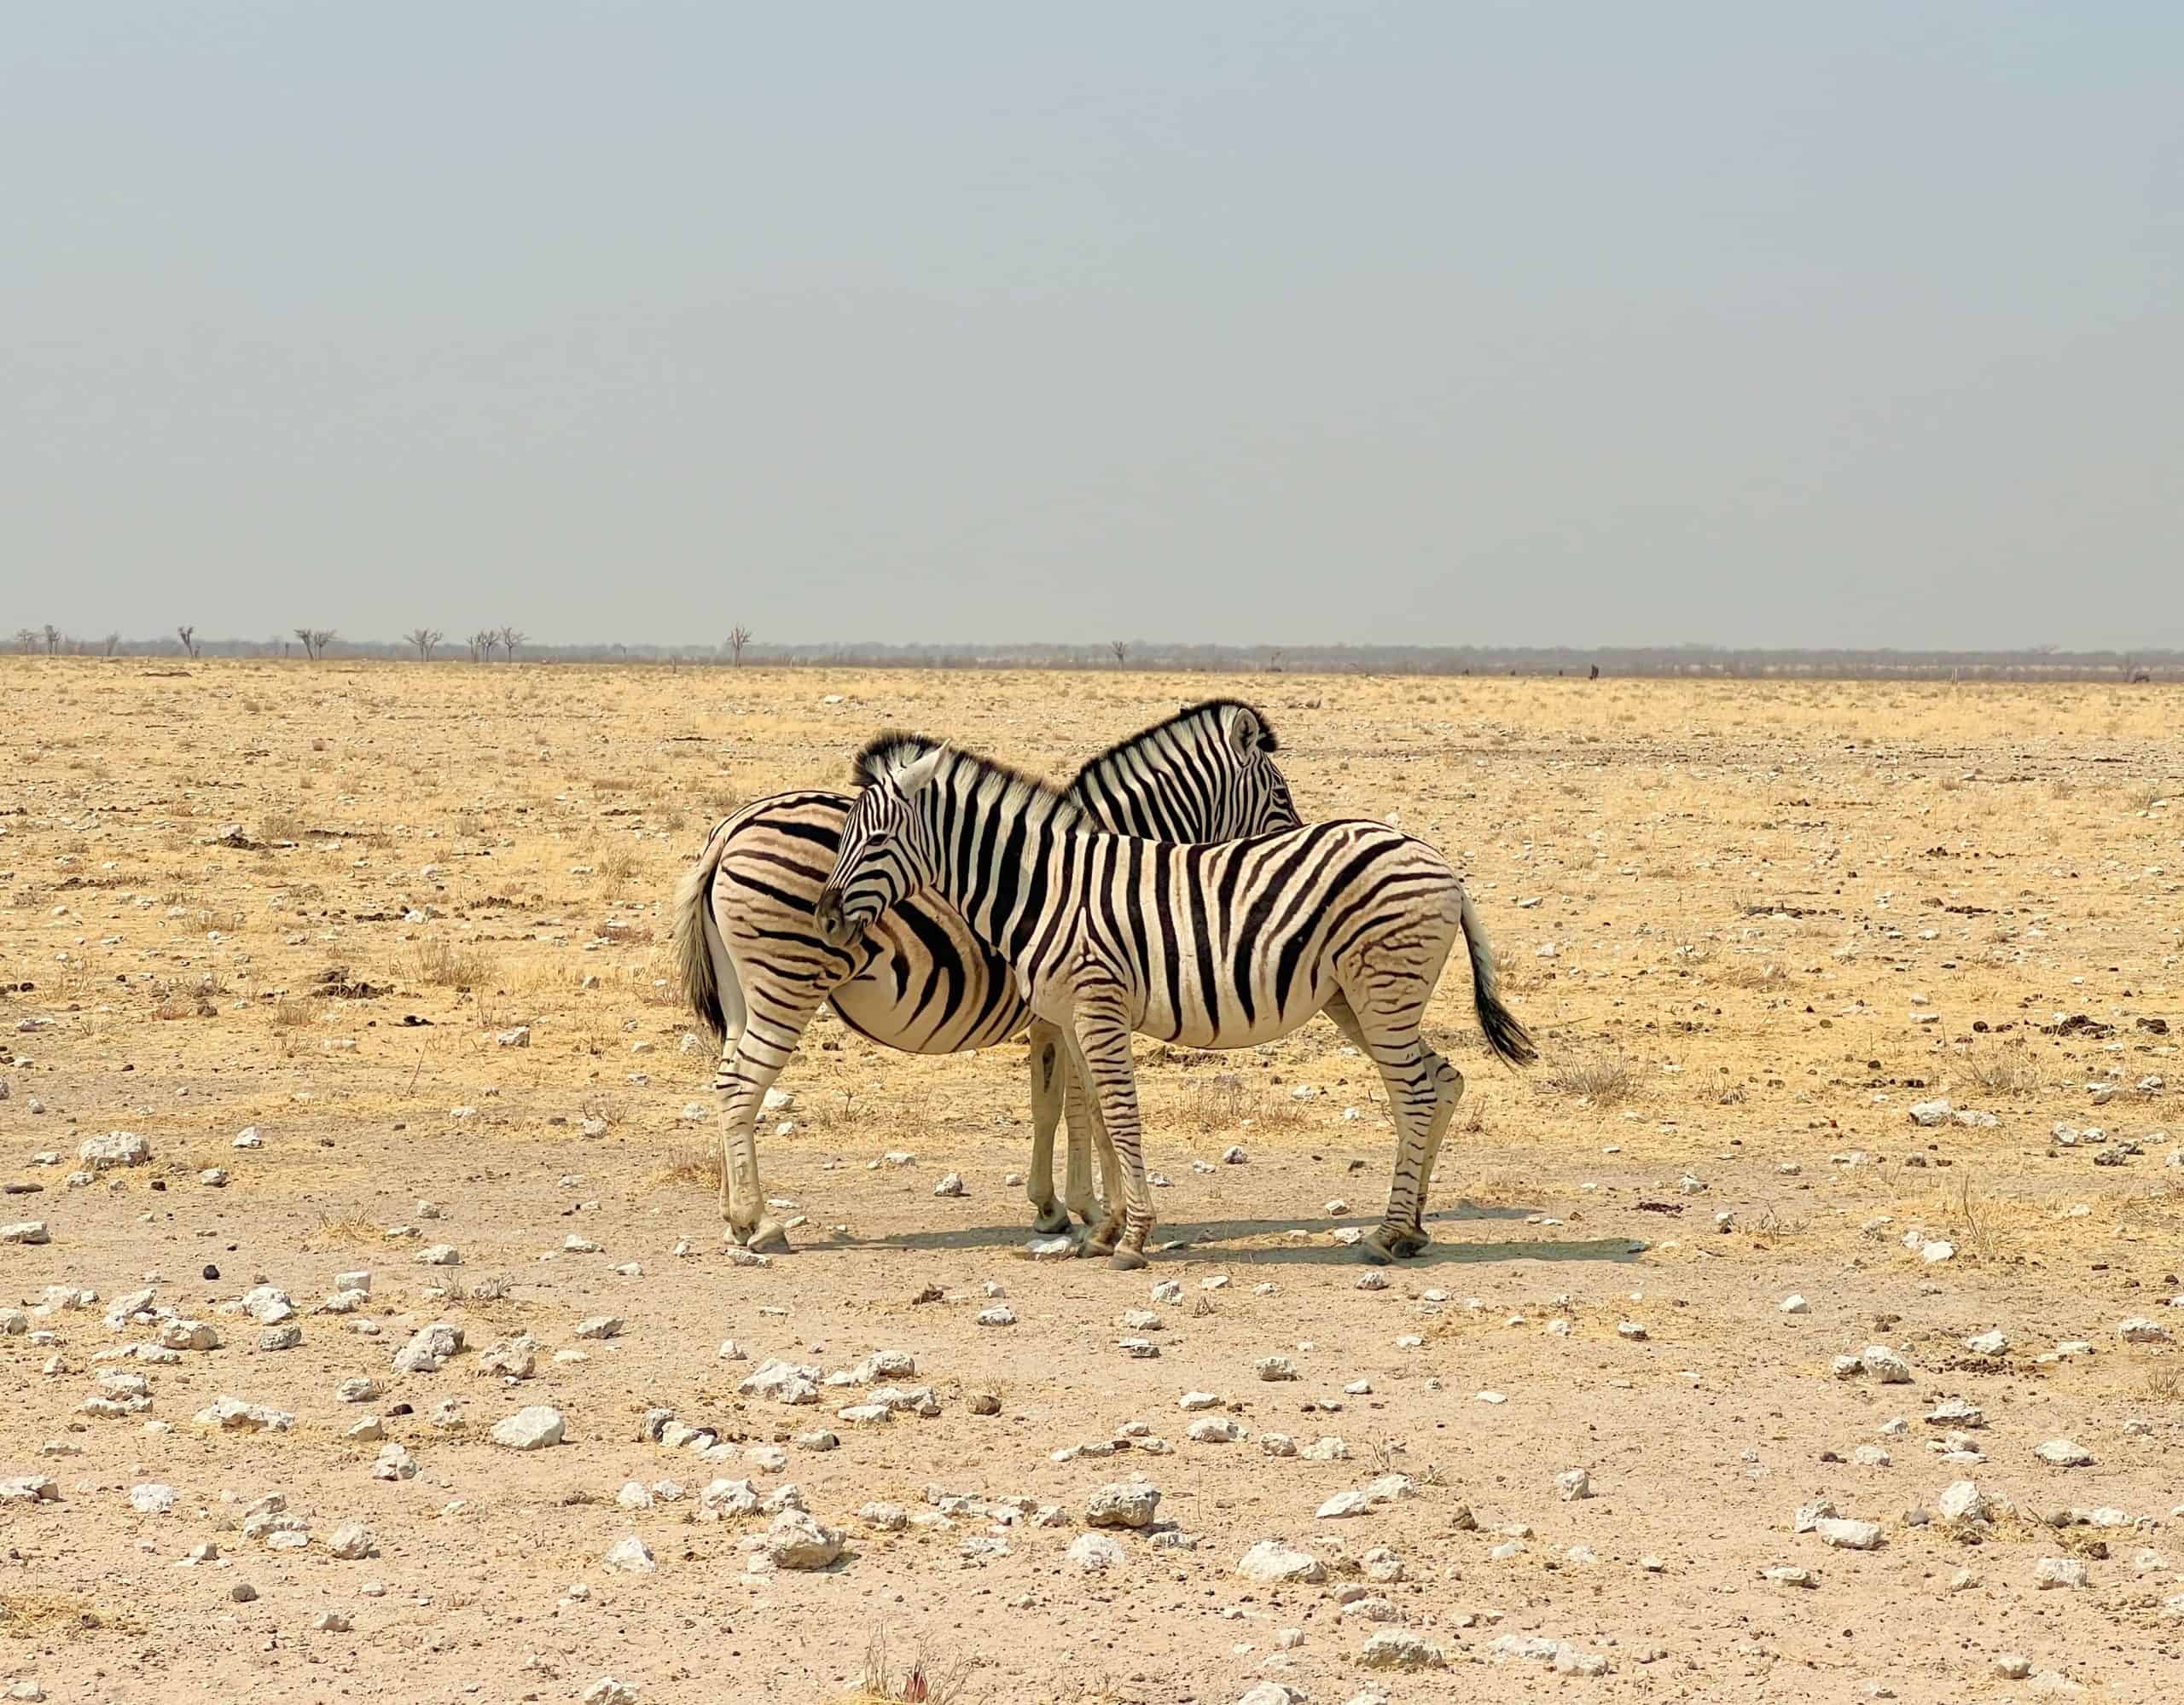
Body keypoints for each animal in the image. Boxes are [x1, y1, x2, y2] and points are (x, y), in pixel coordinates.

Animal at [671, 701, 1300, 1251]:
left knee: (726, 1081)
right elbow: (1080, 1105)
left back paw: (733, 1216)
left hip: (742, 992)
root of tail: (732, 828)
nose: (1292, 842)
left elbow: (1052, 1103)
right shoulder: (1075, 1004)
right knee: (742, 1085)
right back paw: (758, 1222)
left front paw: (1054, 1207)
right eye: (1280, 793)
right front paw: (1091, 1209)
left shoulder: (1054, 1012)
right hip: (788, 980)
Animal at [814, 736, 1535, 1267]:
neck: (1045, 887)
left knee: (1416, 1092)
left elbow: (1119, 1115)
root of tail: (1441, 864)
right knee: (1440, 1080)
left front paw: (1130, 1239)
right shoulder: (1071, 1015)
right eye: (844, 836)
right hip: (1356, 999)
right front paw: (1104, 1227)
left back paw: (1386, 1235)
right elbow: (1094, 1113)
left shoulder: (1097, 1005)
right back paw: (1411, 1228)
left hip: (1381, 990)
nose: (823, 917)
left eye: (874, 841)